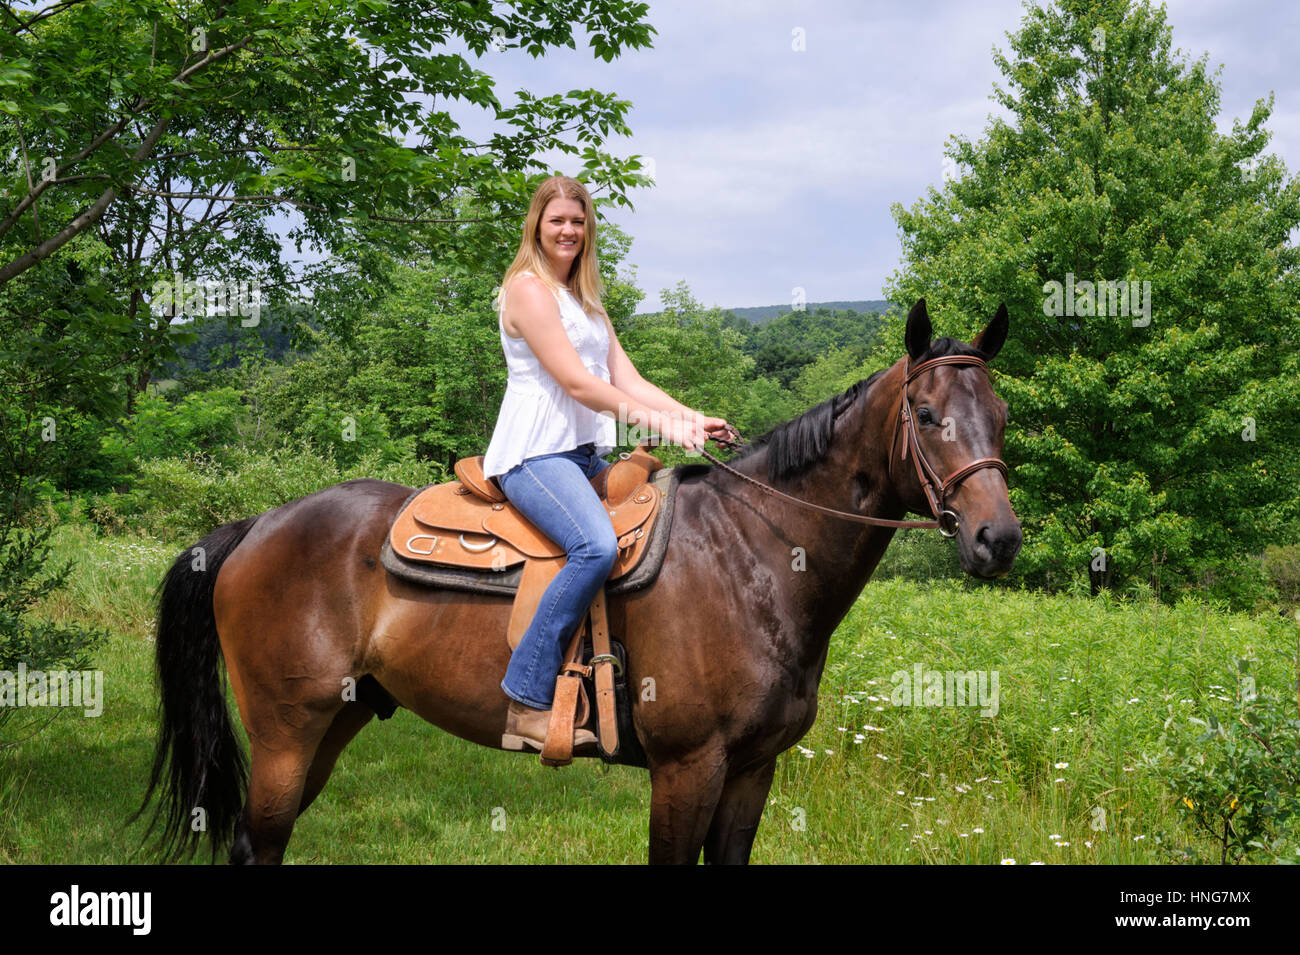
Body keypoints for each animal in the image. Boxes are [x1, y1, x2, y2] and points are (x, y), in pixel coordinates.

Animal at [134, 298, 1024, 867]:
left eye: (1002, 416)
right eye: (928, 415)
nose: (999, 538)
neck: (752, 558)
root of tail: (254, 527)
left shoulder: (751, 771)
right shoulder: (687, 767)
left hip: (333, 724)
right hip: (288, 732)